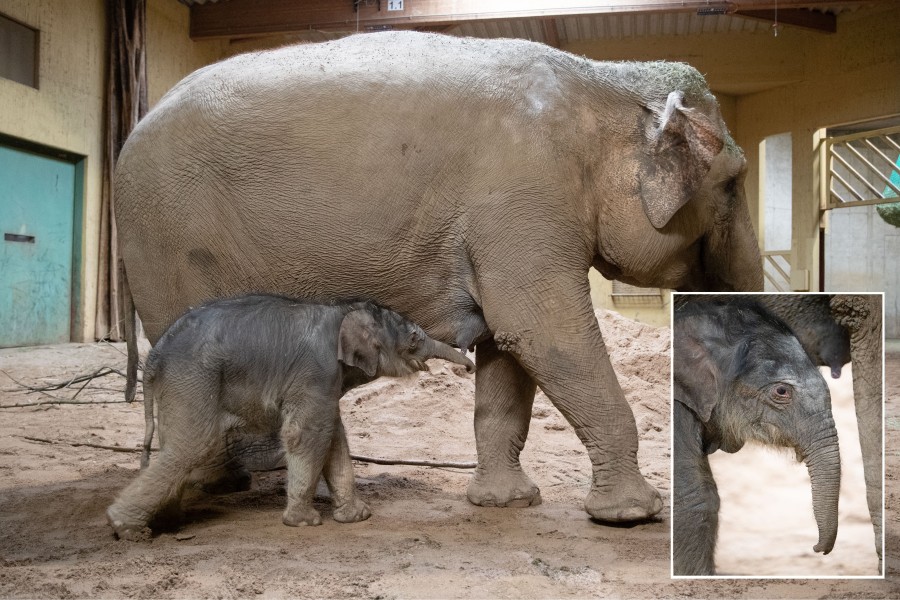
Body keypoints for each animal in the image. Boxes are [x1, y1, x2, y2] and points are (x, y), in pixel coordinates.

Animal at [106, 292, 474, 540]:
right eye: (413, 340)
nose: (469, 366)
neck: (340, 310)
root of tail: (154, 355)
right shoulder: (315, 372)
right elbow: (309, 434)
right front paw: (305, 522)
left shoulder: (324, 382)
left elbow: (334, 437)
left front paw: (357, 517)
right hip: (194, 378)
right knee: (193, 444)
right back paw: (127, 528)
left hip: (182, 385)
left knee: (176, 444)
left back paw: (164, 523)